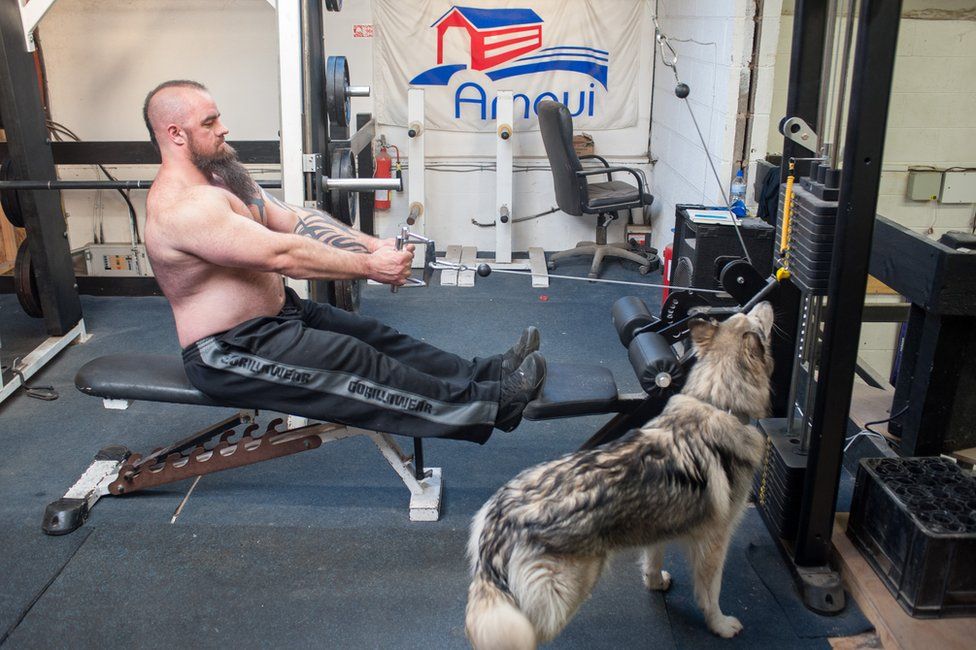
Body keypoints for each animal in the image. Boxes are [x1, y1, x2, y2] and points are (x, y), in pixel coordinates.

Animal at [468, 302, 776, 644]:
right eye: (755, 322)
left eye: (741, 318)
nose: (764, 303)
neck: (717, 401)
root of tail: (500, 522)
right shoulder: (715, 539)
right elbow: (710, 593)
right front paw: (720, 625)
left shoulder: (660, 526)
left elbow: (653, 560)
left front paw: (656, 583)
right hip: (560, 596)